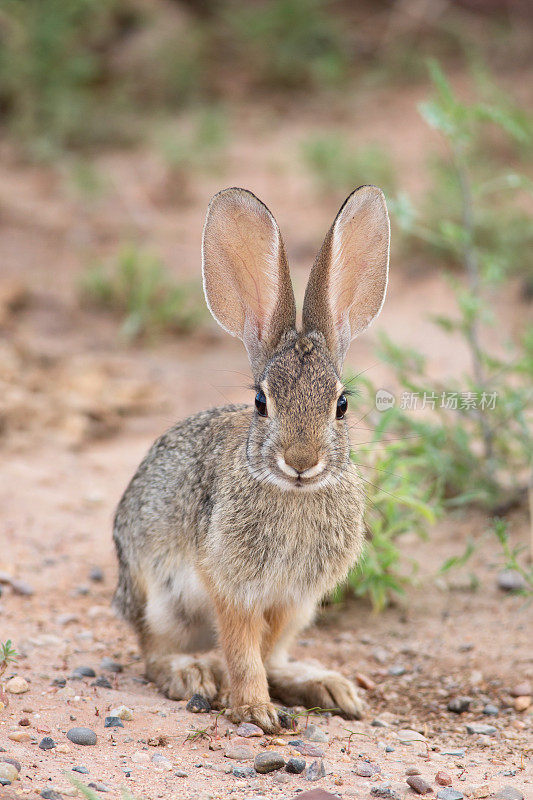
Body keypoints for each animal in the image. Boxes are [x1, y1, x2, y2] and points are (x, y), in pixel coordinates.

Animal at [112, 186, 388, 732]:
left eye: (342, 405)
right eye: (261, 402)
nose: (301, 461)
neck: (293, 494)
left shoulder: (290, 598)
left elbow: (262, 648)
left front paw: (265, 701)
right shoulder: (231, 586)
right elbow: (242, 648)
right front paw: (255, 710)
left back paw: (325, 686)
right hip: (160, 599)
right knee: (153, 653)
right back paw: (194, 673)